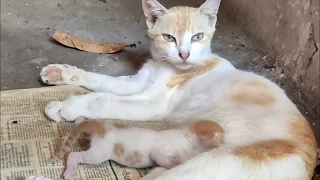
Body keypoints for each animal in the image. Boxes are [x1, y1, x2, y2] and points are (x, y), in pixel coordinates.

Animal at [27, 0, 318, 179]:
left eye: (197, 37)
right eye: (169, 38)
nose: (184, 54)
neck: (166, 65)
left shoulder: (153, 103)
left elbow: (102, 99)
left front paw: (65, 106)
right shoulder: (138, 82)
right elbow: (102, 81)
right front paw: (61, 73)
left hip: (205, 167)